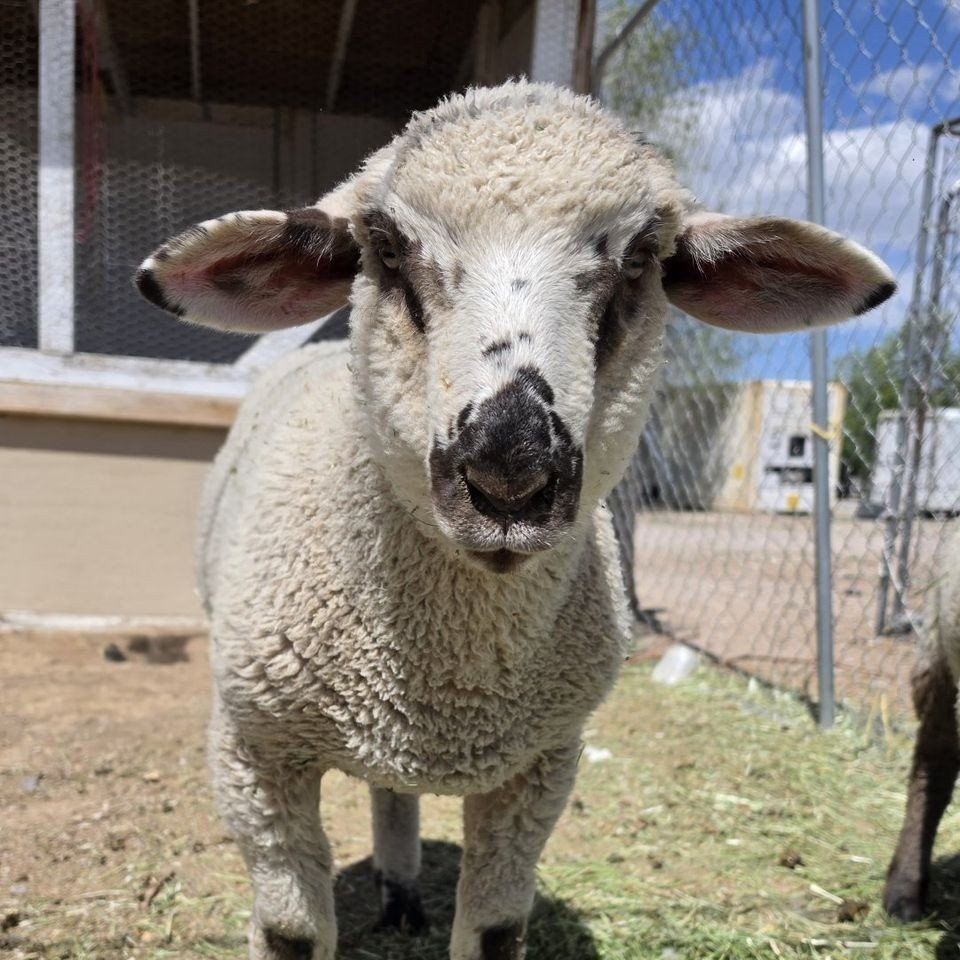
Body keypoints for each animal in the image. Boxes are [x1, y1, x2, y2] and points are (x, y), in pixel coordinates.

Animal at [134, 81, 896, 960]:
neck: (450, 677)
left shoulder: (541, 767)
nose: (510, 472)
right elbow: (291, 931)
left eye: (642, 259)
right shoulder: (255, 753)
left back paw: (402, 893)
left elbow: (497, 927)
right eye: (385, 249)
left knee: (394, 793)